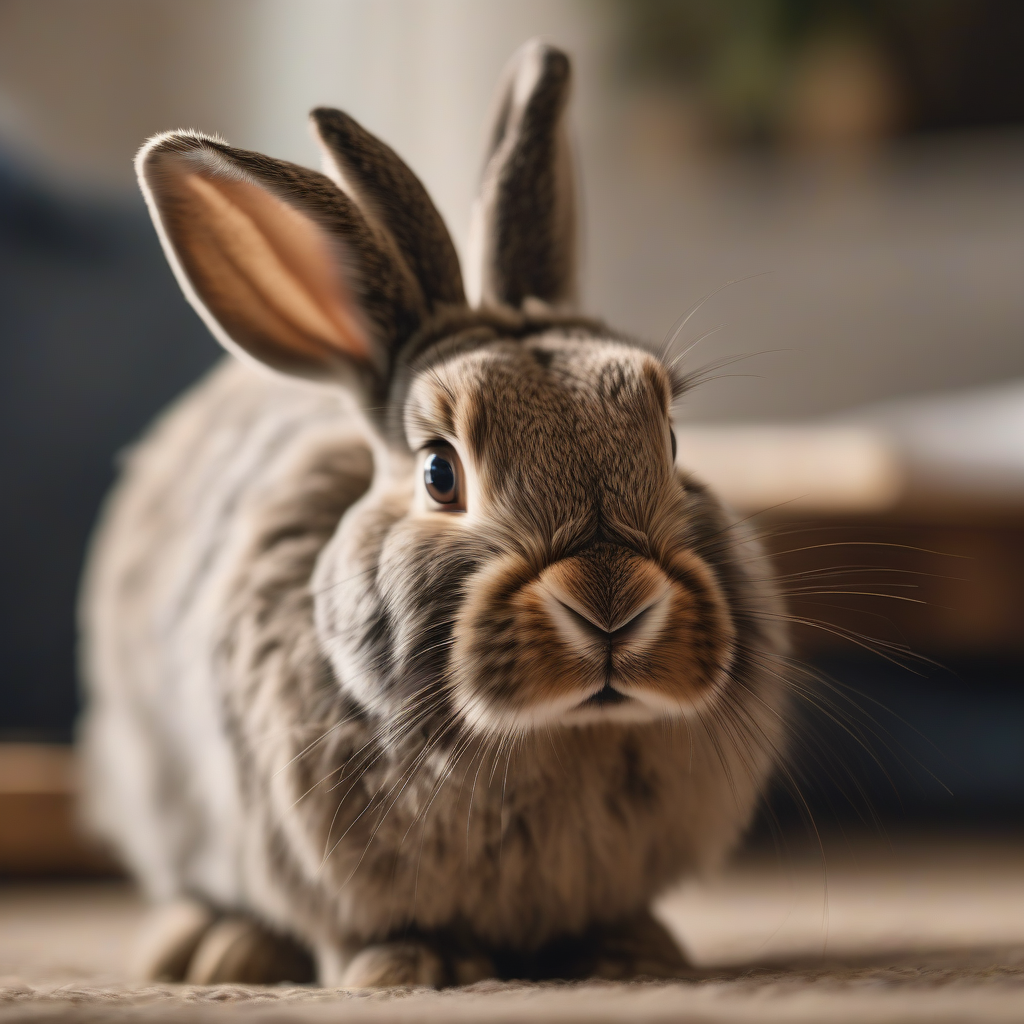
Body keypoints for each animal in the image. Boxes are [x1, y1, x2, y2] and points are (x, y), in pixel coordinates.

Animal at [78, 40, 789, 989]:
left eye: (671, 443)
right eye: (439, 472)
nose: (612, 606)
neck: (556, 739)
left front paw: (635, 956)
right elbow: (367, 930)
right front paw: (416, 971)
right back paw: (212, 951)